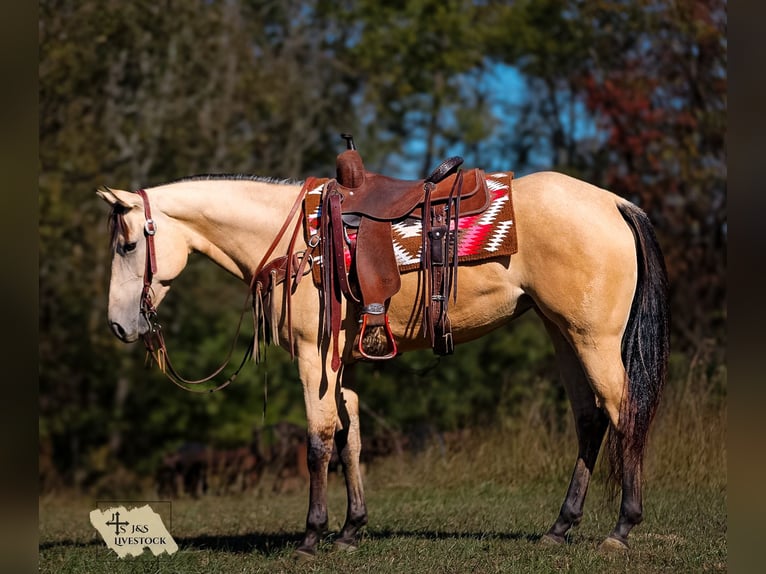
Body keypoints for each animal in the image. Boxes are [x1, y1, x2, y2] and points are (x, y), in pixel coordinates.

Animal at [97, 168, 669, 557]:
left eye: (127, 245)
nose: (119, 327)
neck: (295, 241)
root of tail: (615, 202)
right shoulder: (340, 365)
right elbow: (349, 440)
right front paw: (351, 530)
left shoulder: (314, 358)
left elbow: (318, 441)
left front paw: (312, 535)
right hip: (562, 333)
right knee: (590, 419)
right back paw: (560, 527)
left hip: (593, 338)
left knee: (624, 413)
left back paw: (621, 528)